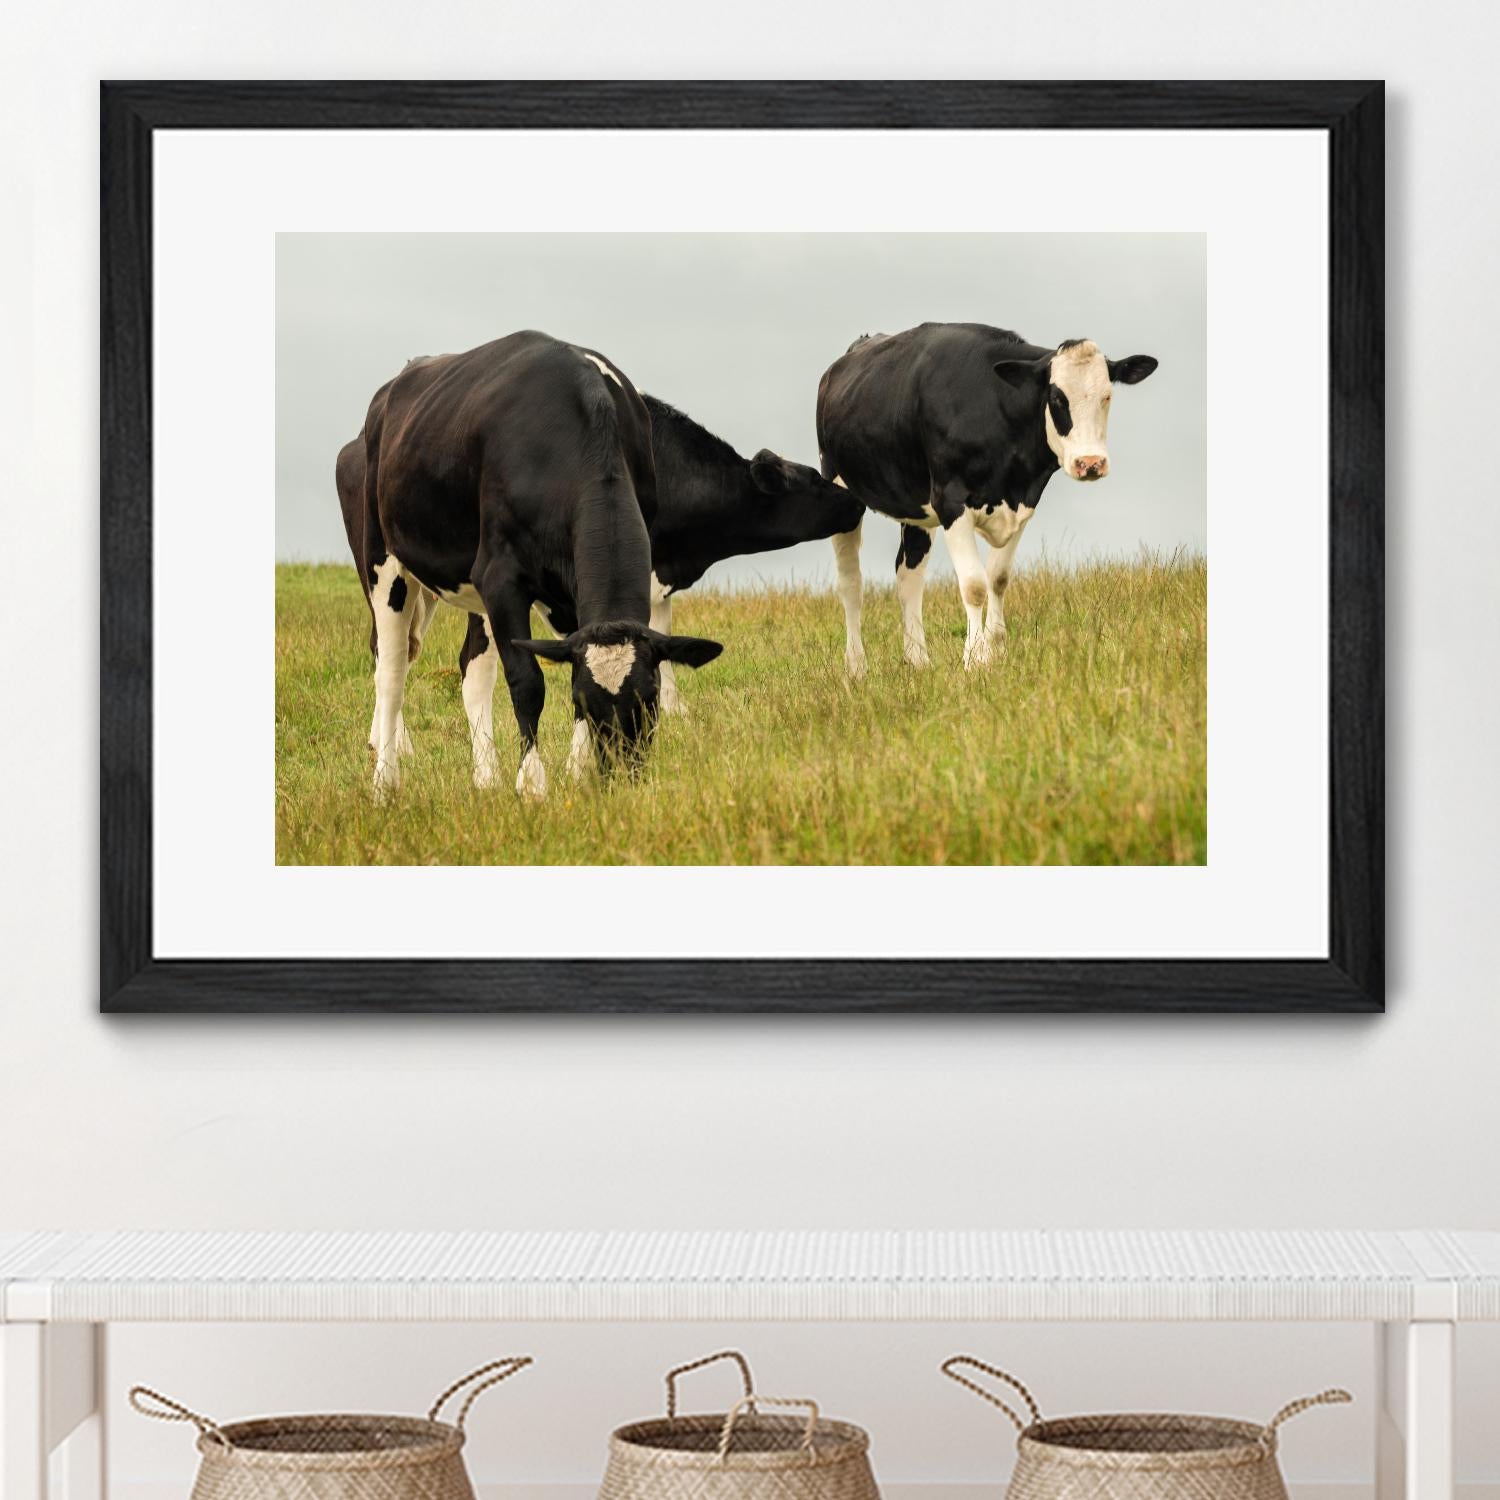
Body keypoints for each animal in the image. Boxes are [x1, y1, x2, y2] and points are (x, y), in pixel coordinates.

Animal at [351, 331, 724, 800]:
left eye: (651, 696)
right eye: (585, 702)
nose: (622, 775)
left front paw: (577, 774)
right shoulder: (500, 577)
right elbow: (526, 681)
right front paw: (532, 785)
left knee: (473, 672)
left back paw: (486, 779)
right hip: (383, 562)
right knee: (391, 672)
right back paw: (386, 782)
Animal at [815, 324, 1158, 674]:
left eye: (1107, 395)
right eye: (1057, 398)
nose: (1090, 463)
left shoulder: (1023, 502)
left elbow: (998, 578)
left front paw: (996, 651)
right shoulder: (950, 501)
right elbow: (974, 585)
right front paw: (975, 658)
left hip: (916, 507)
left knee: (908, 575)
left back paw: (918, 660)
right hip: (841, 493)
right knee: (851, 583)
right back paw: (856, 666)